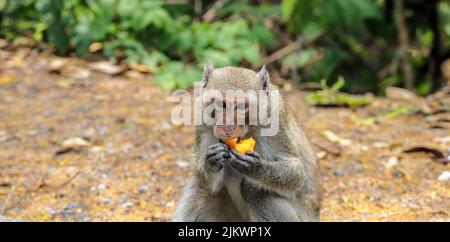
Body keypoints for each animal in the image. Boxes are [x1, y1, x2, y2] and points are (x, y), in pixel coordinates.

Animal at [171, 62, 320, 221]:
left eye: (241, 106)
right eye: (221, 104)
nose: (228, 127)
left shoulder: (276, 119)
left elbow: (296, 172)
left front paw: (255, 167)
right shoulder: (201, 119)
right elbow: (202, 174)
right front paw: (211, 163)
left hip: (306, 214)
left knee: (254, 191)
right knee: (200, 190)